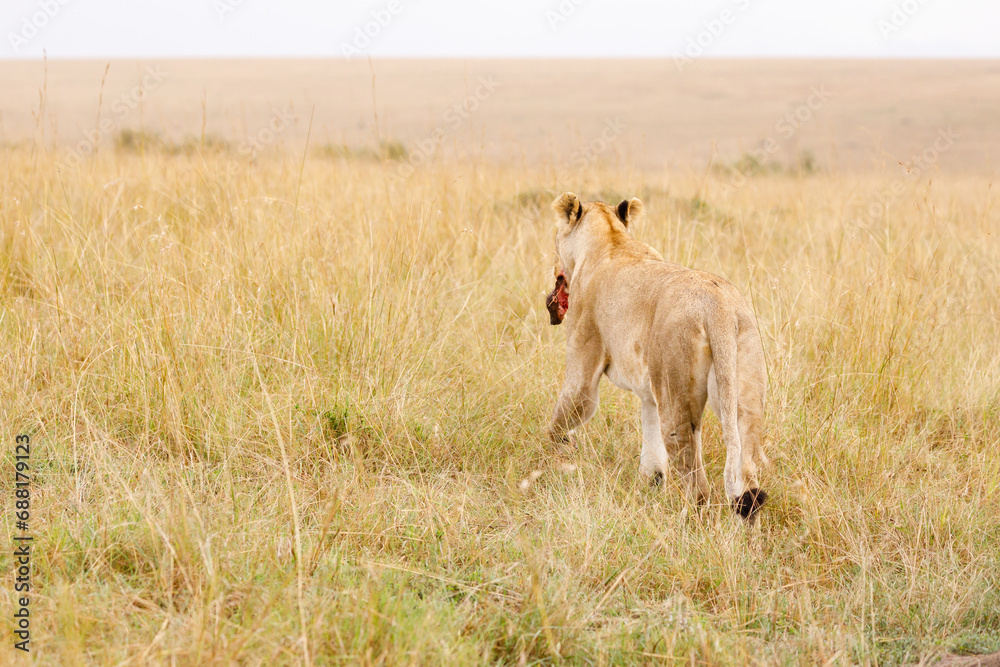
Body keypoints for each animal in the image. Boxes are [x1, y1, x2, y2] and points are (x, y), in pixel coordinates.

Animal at [545, 192, 769, 518]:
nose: (552, 267)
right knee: (748, 477)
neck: (612, 238)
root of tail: (718, 306)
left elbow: (566, 413)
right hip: (743, 391)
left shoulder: (584, 363)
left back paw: (688, 520)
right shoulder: (650, 393)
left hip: (676, 399)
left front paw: (552, 456)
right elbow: (652, 456)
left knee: (697, 483)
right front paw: (648, 487)